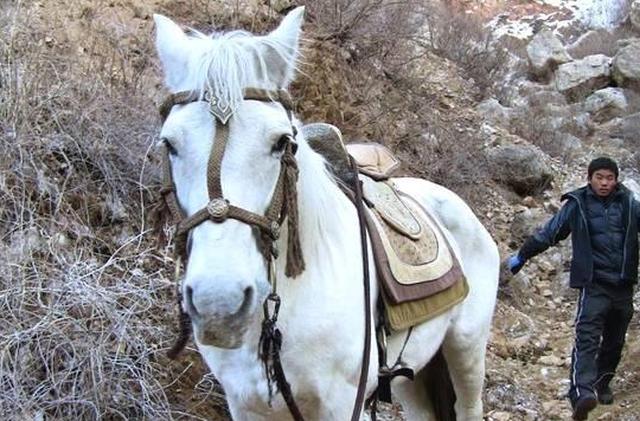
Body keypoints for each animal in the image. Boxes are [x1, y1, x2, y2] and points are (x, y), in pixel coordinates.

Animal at [152, 7, 499, 420]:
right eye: (170, 143)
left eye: (281, 142)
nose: (220, 305)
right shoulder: (245, 405)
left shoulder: (343, 405)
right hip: (413, 377)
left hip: (466, 351)